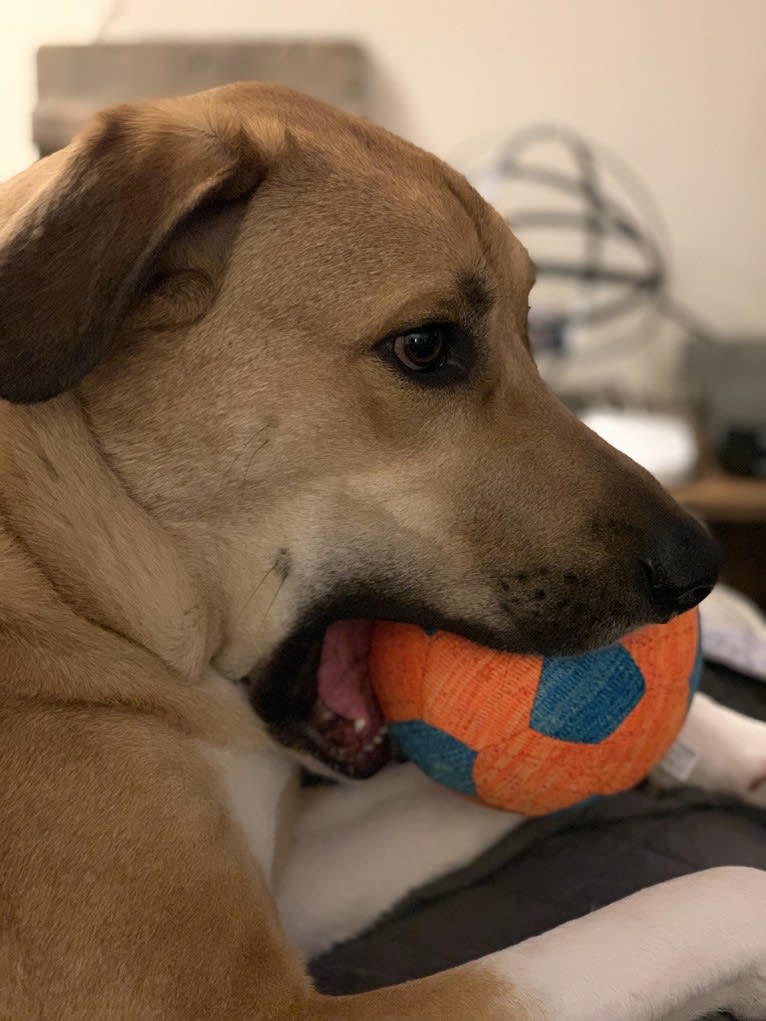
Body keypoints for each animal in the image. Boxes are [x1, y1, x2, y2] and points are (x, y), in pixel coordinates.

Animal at [0, 81, 763, 1021]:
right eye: (426, 346)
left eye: (532, 331)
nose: (700, 569)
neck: (66, 568)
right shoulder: (235, 1000)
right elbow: (707, 895)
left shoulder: (289, 869)